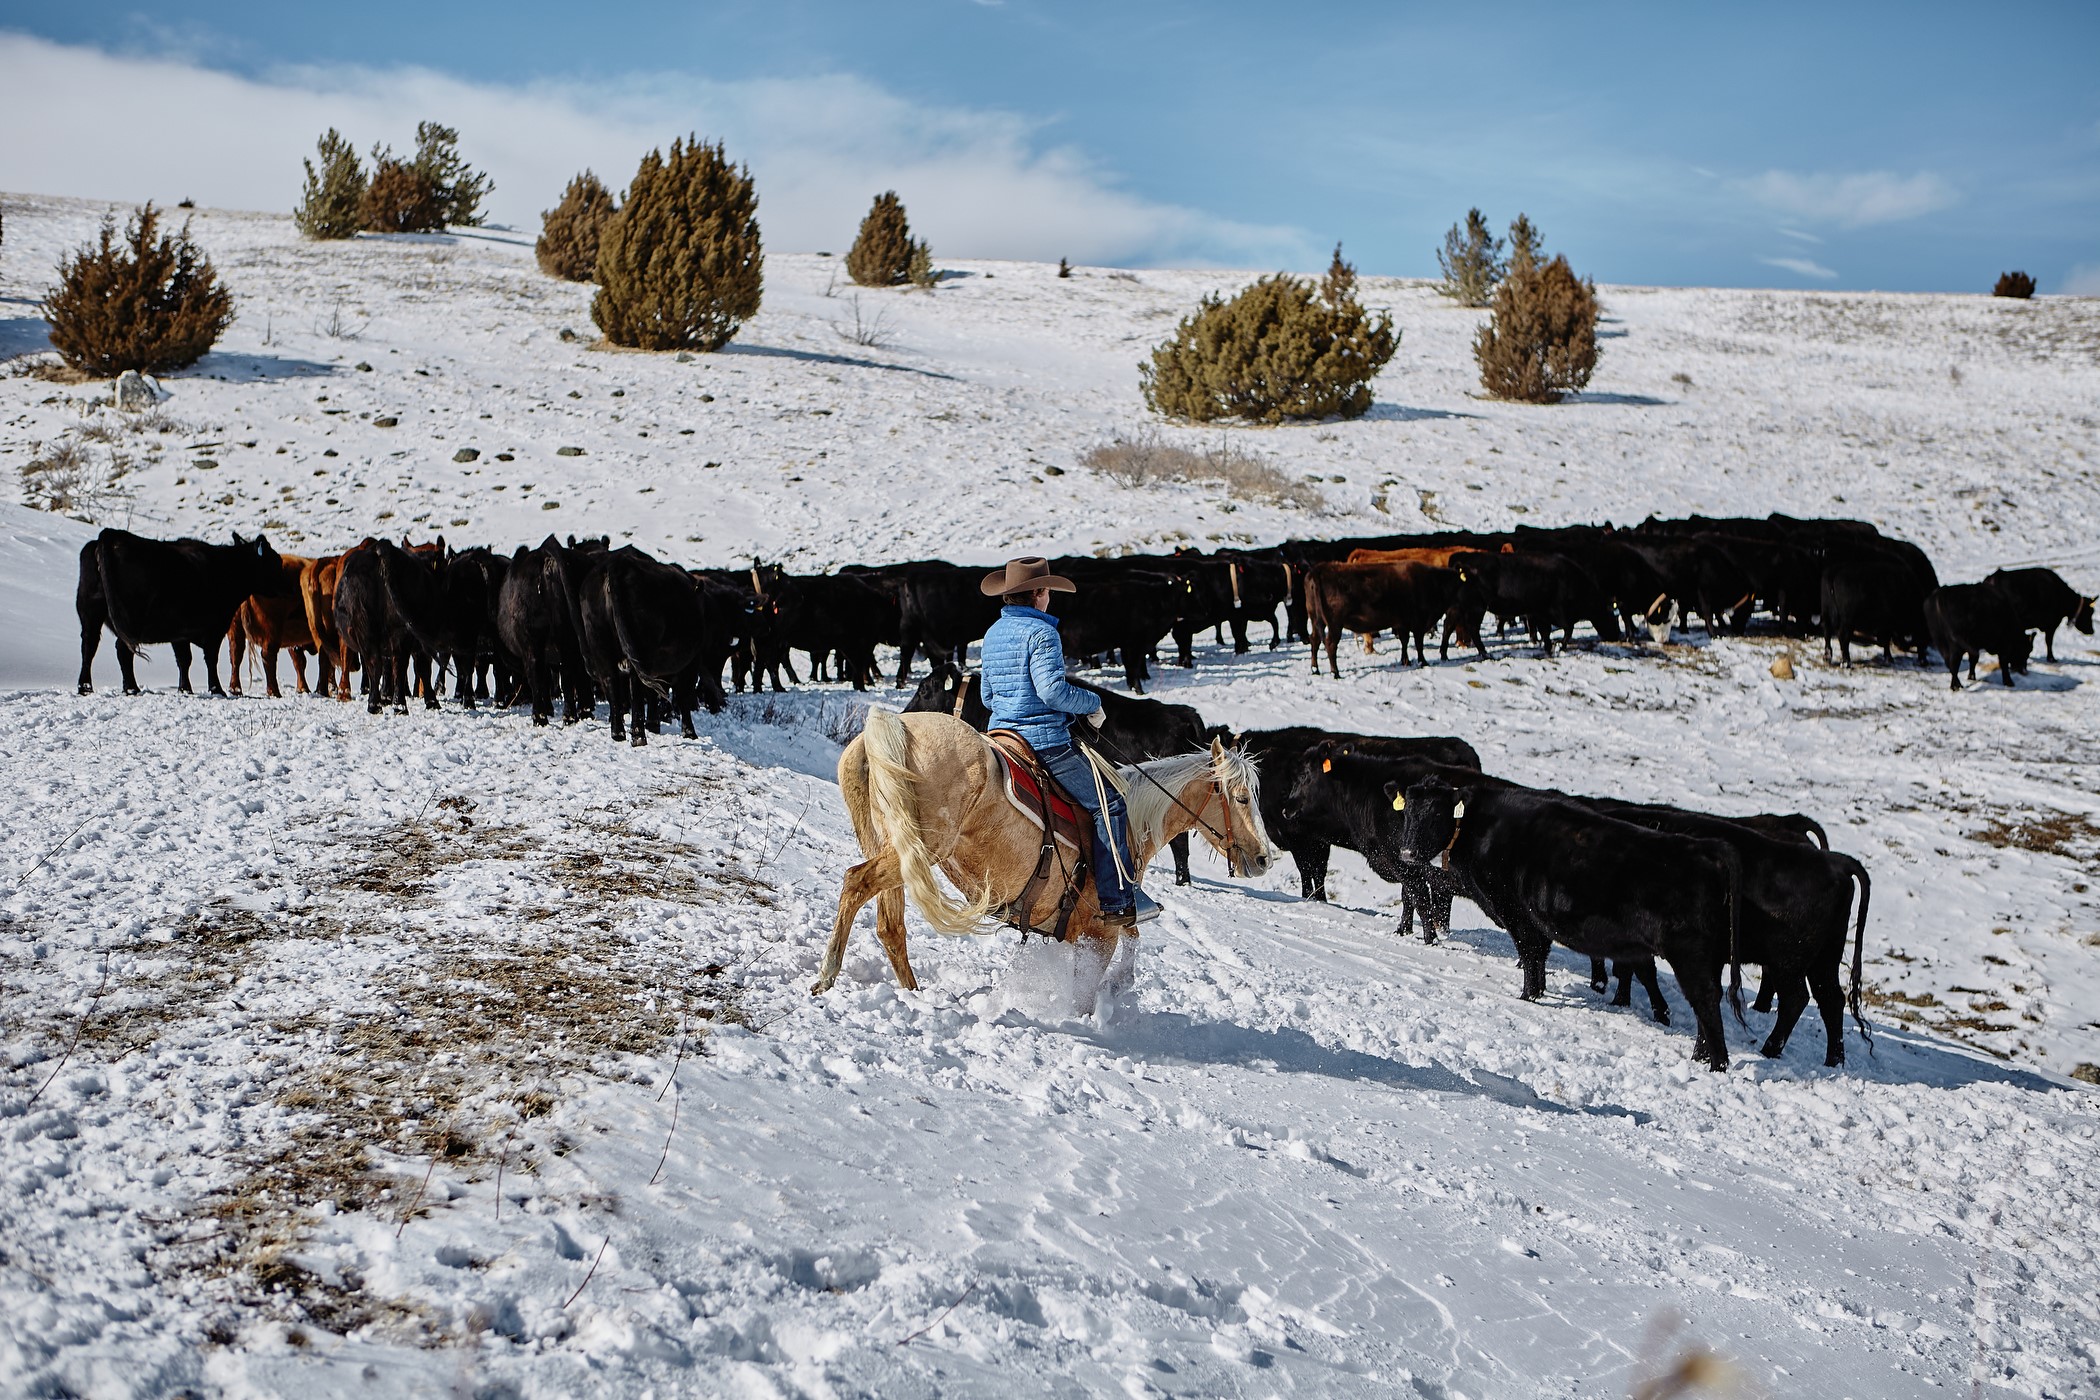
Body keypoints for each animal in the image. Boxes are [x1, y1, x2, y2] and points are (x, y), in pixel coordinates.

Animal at [77, 528, 289, 696]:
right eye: (275, 562)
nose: (286, 588)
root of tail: (112, 534)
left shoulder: (179, 632)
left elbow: (184, 659)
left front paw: (185, 689)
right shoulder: (214, 628)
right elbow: (210, 658)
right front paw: (216, 690)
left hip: (91, 612)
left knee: (89, 646)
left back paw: (85, 687)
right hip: (130, 619)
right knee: (122, 649)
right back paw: (131, 688)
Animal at [228, 554, 315, 696]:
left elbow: (299, 661)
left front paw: (303, 689)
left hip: (236, 628)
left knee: (236, 653)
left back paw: (235, 689)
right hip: (272, 631)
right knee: (268, 656)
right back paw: (274, 692)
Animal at [814, 713, 1276, 994]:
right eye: (1240, 797)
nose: (1263, 858)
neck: (1130, 828)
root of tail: (890, 726)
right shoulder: (1100, 932)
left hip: (892, 845)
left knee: (890, 925)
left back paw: (912, 994)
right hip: (920, 848)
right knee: (856, 882)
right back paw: (826, 975)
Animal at [1302, 566, 1453, 680]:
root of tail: (1318, 570)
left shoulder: (1402, 624)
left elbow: (1404, 641)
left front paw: (1406, 661)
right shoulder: (1417, 624)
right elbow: (1418, 644)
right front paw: (1423, 662)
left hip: (1315, 620)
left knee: (1315, 640)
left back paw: (1315, 670)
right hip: (1335, 626)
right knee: (1330, 645)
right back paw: (1336, 673)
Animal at [1394, 776, 1738, 1074]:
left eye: (1437, 814)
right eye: (1408, 812)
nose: (1407, 852)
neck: (1480, 828)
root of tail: (1709, 851)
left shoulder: (1515, 911)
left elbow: (1530, 953)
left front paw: (1527, 997)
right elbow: (1539, 957)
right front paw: (1538, 992)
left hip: (1689, 954)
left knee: (1705, 1000)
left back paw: (1717, 1064)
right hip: (1708, 958)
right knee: (1707, 1004)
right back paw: (1699, 1056)